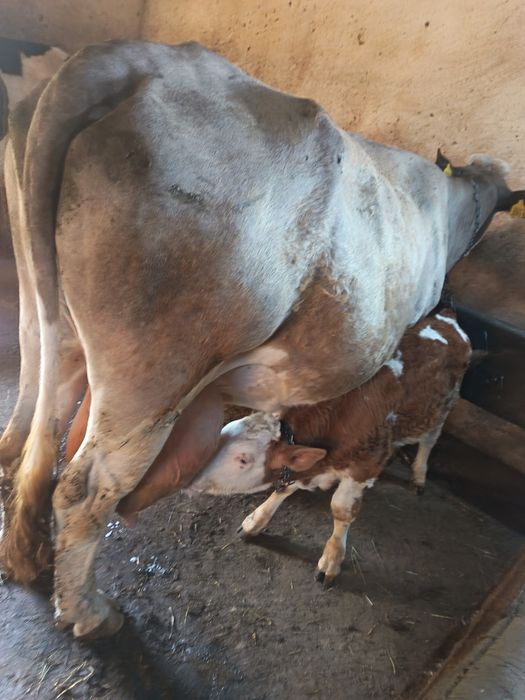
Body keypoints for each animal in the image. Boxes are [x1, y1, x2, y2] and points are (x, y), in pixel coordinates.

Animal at [188, 310, 471, 585]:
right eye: (223, 432)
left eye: (243, 460)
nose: (189, 478)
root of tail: (447, 317)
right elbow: (284, 488)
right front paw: (255, 521)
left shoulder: (363, 468)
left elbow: (341, 510)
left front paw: (332, 559)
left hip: (442, 409)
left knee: (429, 441)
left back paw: (418, 475)